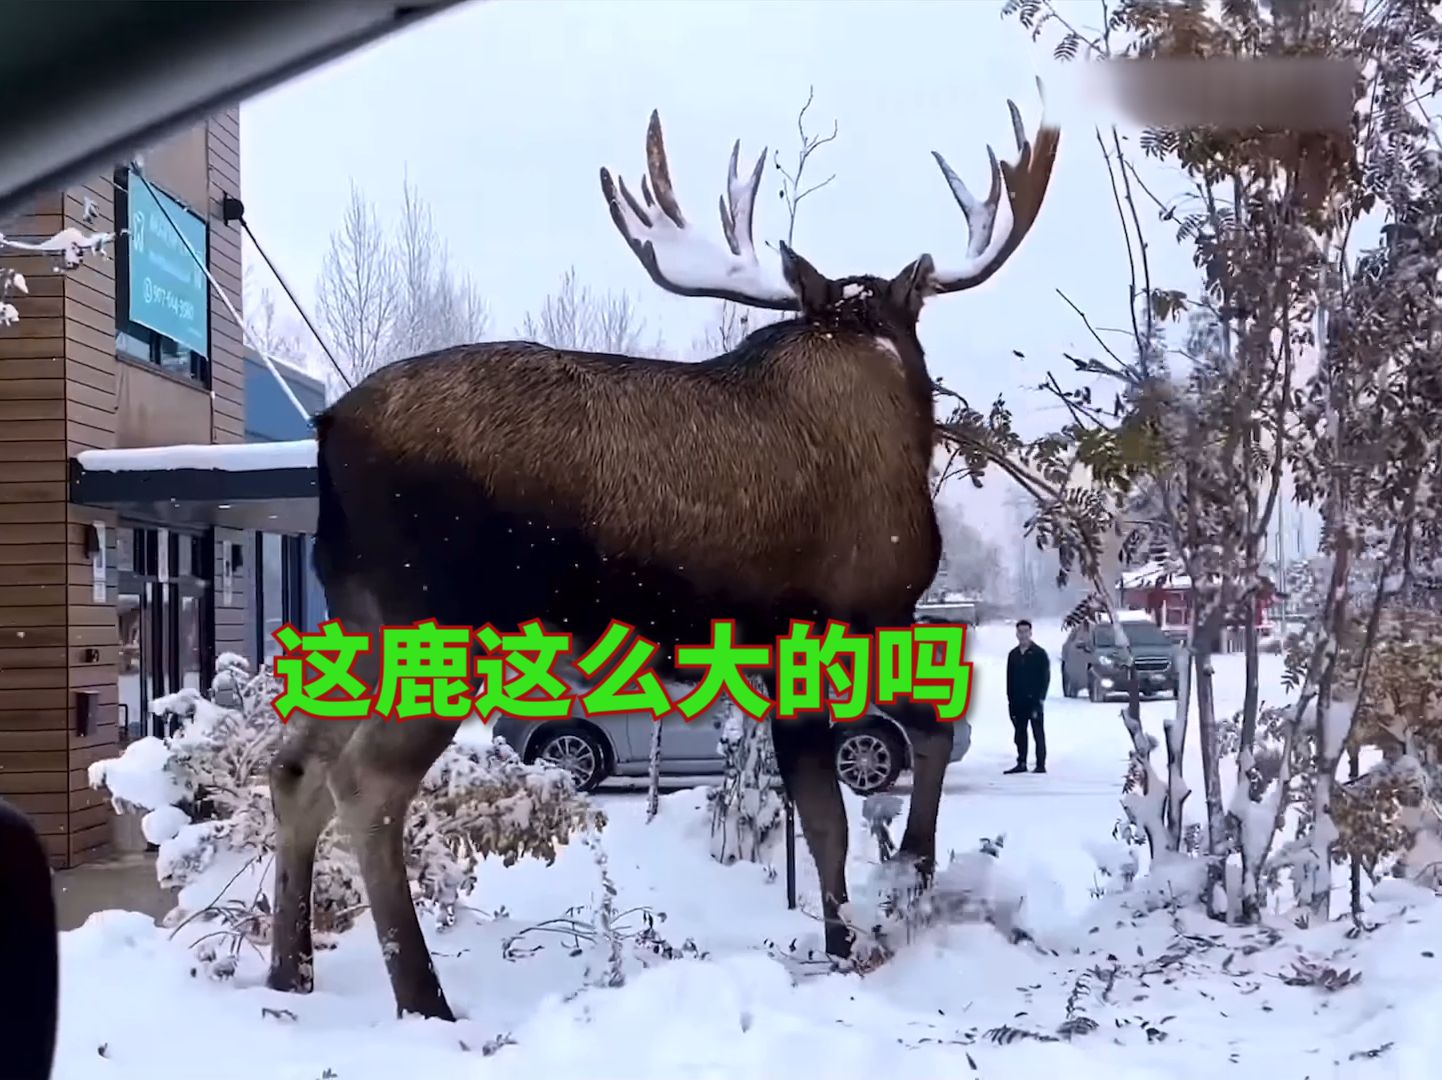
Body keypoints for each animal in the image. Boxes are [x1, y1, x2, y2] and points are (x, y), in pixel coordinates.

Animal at [264, 82, 1059, 1022]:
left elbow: (826, 800)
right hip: (439, 620)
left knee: (296, 763)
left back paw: (290, 971)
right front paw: (894, 890)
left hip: (359, 616)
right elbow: (884, 768)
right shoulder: (860, 612)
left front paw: (856, 919)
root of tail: (330, 434)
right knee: (367, 783)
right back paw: (423, 998)